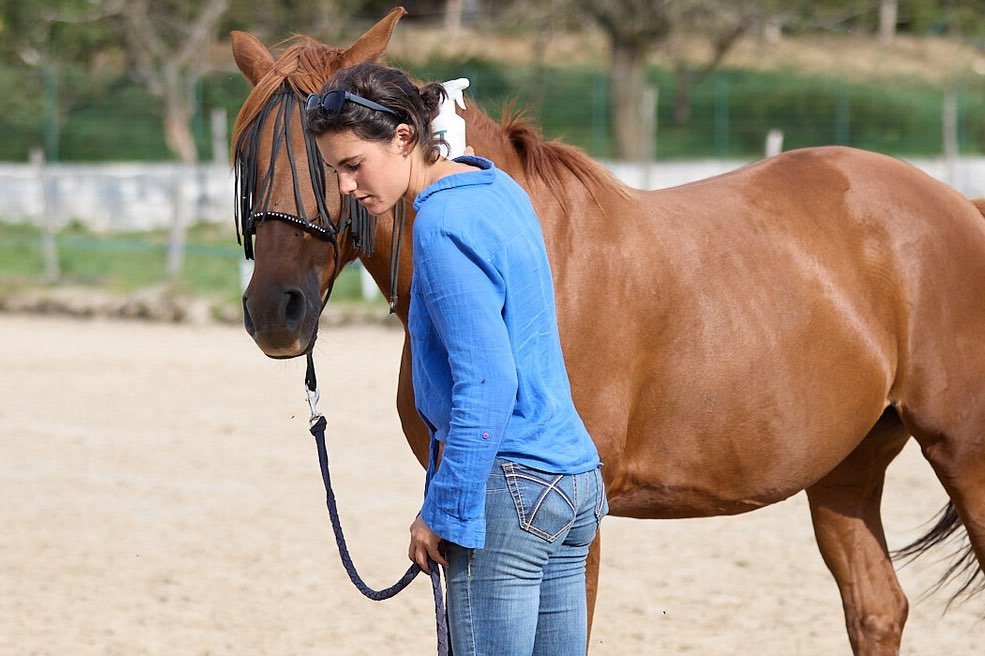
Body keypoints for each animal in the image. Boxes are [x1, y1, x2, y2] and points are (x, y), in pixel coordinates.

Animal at [230, 7, 985, 654]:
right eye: (249, 158)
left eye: (333, 163)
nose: (275, 310)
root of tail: (958, 204)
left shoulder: (568, 522)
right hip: (845, 469)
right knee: (876, 609)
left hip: (962, 456)